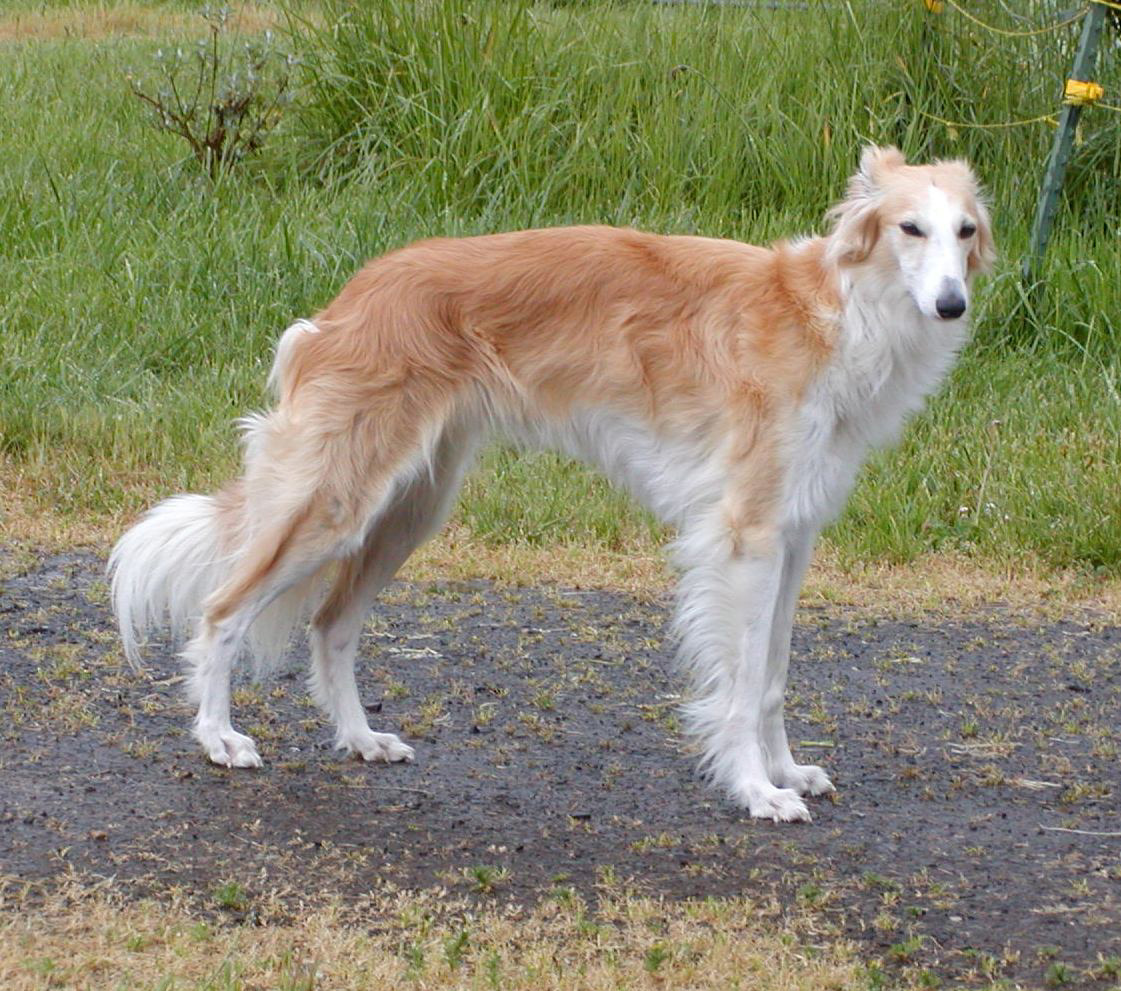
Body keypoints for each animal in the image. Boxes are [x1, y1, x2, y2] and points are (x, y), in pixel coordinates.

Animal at [109, 141, 995, 820]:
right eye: (909, 228)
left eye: (964, 230)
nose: (952, 305)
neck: (830, 314)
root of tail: (346, 302)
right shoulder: (744, 537)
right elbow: (742, 684)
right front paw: (754, 790)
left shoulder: (793, 535)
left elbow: (773, 676)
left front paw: (784, 771)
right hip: (335, 501)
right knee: (222, 609)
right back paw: (219, 738)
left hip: (409, 508)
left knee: (329, 625)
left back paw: (360, 738)